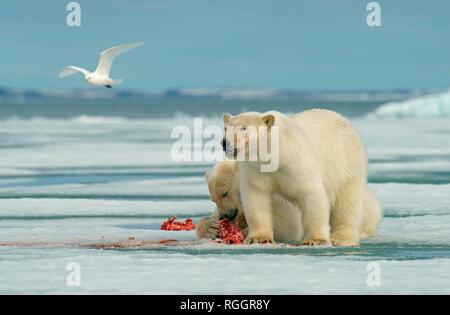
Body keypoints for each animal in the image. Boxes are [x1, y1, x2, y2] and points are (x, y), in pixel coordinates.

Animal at [223, 110, 382, 248]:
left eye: (243, 128)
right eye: (225, 128)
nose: (224, 143)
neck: (277, 156)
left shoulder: (298, 161)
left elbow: (312, 194)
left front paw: (315, 240)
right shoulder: (255, 170)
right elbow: (256, 198)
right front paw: (258, 238)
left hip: (348, 164)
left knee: (347, 202)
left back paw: (341, 238)